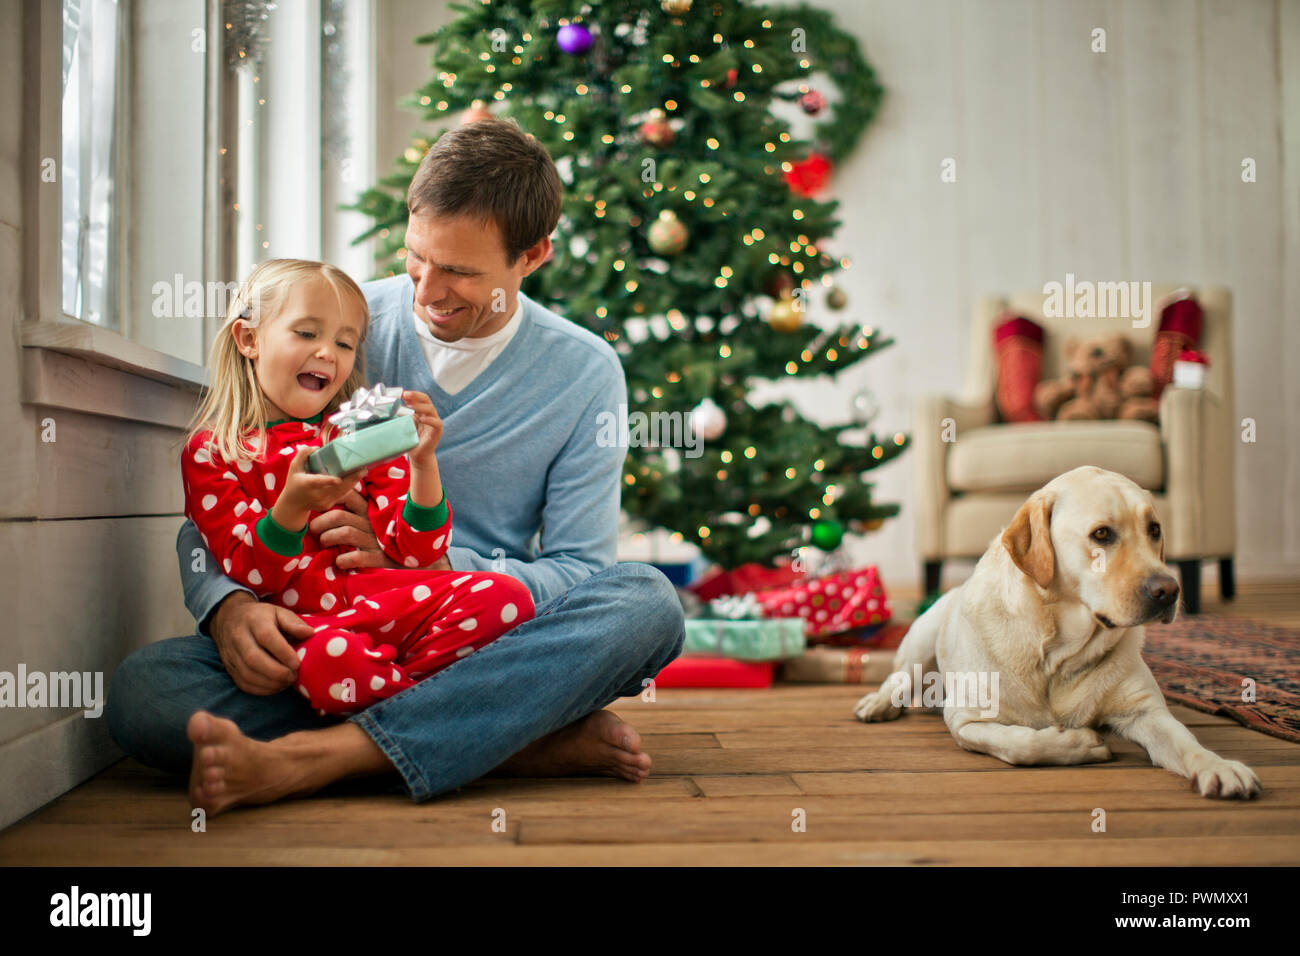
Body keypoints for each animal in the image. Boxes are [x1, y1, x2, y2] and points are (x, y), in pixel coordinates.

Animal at [852, 468, 1258, 796]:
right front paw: (1080, 744)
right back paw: (877, 703)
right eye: (1101, 534)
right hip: (923, 637)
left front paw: (1219, 766)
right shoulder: (968, 719)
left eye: (1154, 530)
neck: (1058, 652)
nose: (1170, 590)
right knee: (898, 678)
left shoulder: (1146, 711)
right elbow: (1022, 745)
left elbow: (1186, 741)